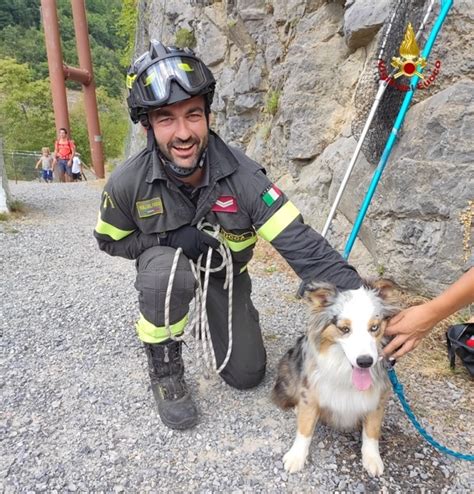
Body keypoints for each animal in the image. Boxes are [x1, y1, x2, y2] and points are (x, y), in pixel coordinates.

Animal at [272, 278, 398, 474]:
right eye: (344, 329)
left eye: (374, 327)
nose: (365, 361)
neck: (345, 371)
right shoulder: (310, 392)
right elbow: (305, 427)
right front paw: (296, 457)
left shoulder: (379, 396)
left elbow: (372, 430)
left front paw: (372, 459)